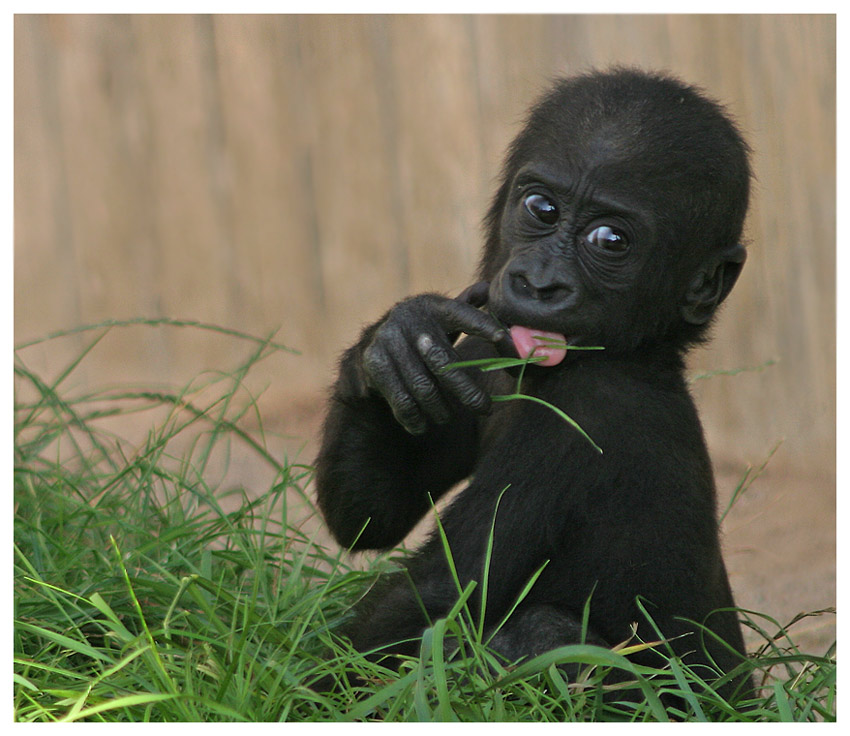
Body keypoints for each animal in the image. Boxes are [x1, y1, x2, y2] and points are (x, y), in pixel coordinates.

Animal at [316, 67, 748, 700]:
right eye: (541, 208)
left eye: (610, 241)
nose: (540, 283)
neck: (639, 353)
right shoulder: (481, 355)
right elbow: (373, 516)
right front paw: (393, 342)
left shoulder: (586, 419)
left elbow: (436, 596)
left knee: (544, 633)